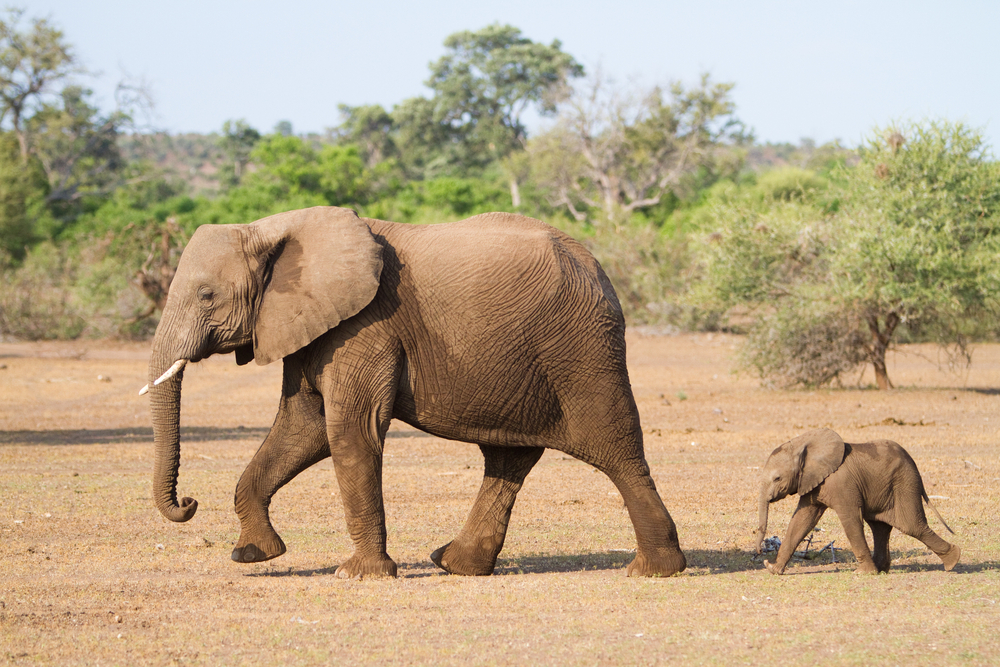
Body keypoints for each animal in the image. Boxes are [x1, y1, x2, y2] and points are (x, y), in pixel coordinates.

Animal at [143, 206, 686, 579]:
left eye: (206, 295)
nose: (188, 502)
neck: (273, 228)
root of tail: (597, 267)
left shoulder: (365, 325)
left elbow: (349, 431)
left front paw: (359, 575)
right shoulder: (312, 325)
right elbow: (303, 428)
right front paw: (253, 554)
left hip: (582, 350)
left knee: (617, 451)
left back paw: (654, 570)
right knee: (508, 459)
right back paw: (456, 564)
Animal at [754, 428, 960, 574]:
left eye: (777, 478)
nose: (760, 552)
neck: (802, 445)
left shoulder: (842, 483)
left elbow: (850, 520)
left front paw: (863, 573)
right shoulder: (813, 482)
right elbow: (802, 520)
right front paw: (773, 569)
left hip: (904, 484)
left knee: (912, 525)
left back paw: (953, 561)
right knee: (880, 527)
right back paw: (882, 569)